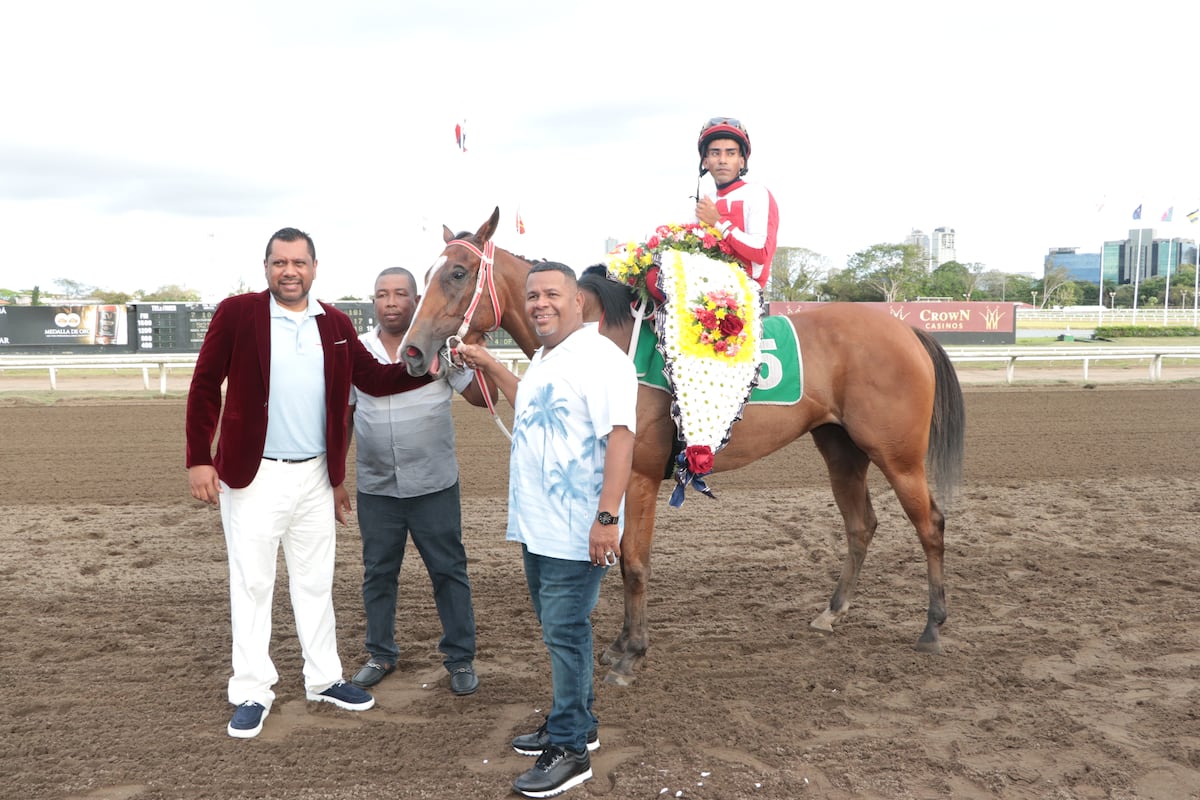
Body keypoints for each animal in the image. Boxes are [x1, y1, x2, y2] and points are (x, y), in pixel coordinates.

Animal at [400, 208, 964, 690]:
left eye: (457, 272)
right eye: (427, 273)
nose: (412, 352)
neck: (605, 340)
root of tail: (907, 330)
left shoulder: (640, 474)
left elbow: (633, 561)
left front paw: (631, 654)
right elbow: (618, 558)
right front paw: (620, 644)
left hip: (897, 454)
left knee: (931, 524)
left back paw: (934, 627)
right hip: (841, 448)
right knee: (861, 525)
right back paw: (832, 611)